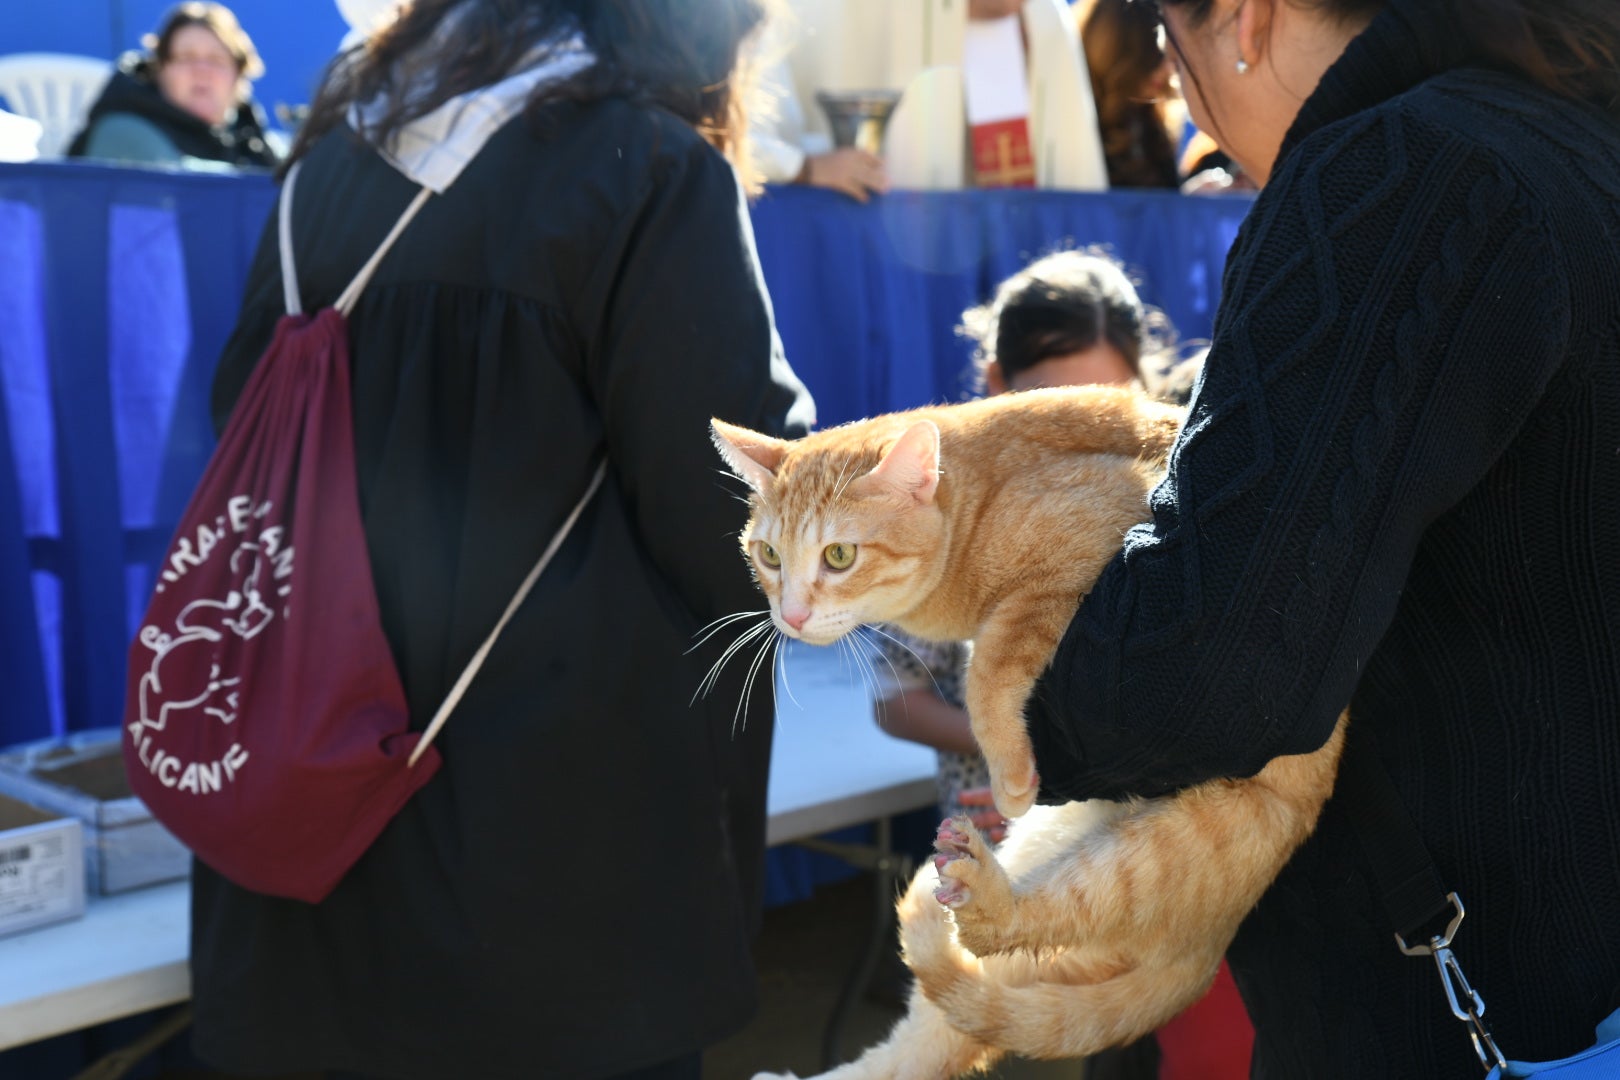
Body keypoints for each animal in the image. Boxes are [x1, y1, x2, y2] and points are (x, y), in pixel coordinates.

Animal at [716, 383, 1347, 1075]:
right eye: (769, 556)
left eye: (838, 555)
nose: (792, 616)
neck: (976, 509)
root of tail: (1208, 952)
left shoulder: (1093, 547)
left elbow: (988, 664)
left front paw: (1010, 772)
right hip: (1049, 854)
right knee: (935, 1037)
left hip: (1167, 850)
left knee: (1006, 932)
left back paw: (987, 895)